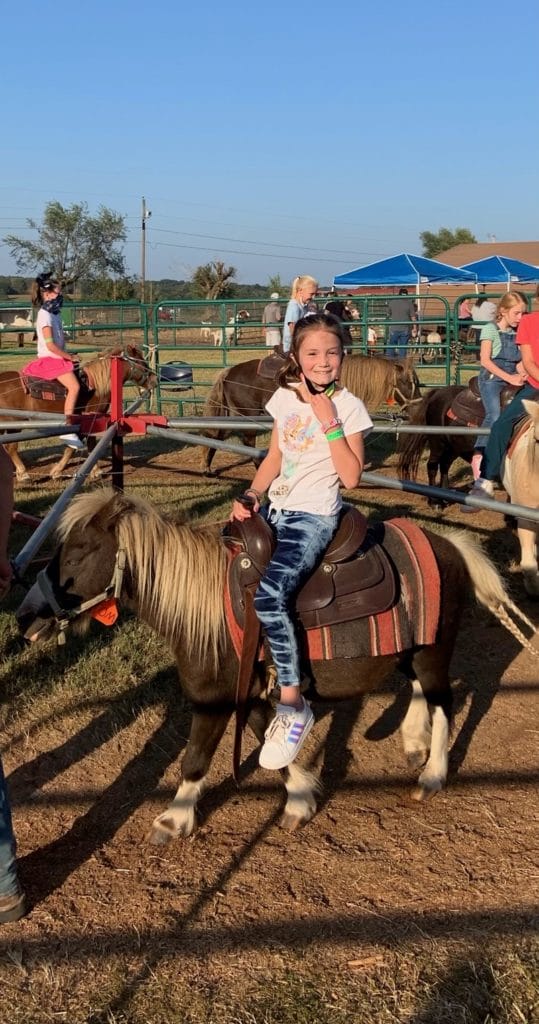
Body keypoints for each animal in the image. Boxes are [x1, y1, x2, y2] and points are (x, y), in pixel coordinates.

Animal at [0, 346, 156, 481]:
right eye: (141, 362)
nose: (155, 379)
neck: (95, 385)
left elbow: (88, 445)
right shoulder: (89, 419)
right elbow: (76, 447)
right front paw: (58, 471)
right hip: (14, 422)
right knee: (11, 447)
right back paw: (23, 474)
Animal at [16, 487, 536, 839]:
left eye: (79, 554)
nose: (25, 616)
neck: (204, 601)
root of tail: (451, 545)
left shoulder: (216, 697)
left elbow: (196, 756)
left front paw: (175, 818)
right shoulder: (252, 689)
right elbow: (267, 737)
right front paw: (301, 798)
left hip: (433, 651)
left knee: (443, 701)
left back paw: (431, 774)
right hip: (407, 651)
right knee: (420, 690)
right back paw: (412, 740)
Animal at [199, 354, 422, 473]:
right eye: (406, 382)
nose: (418, 407)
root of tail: (228, 372)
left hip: (235, 414)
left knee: (216, 435)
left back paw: (208, 468)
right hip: (247, 416)